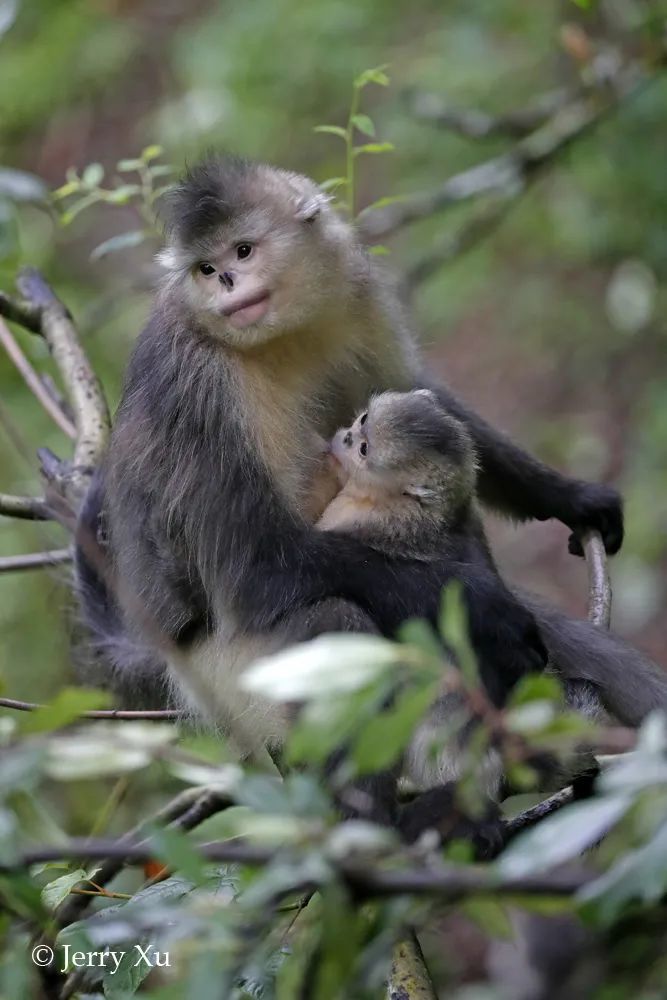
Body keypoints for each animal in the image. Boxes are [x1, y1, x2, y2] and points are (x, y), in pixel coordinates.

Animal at [75, 156, 624, 736]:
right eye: (205, 268)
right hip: (227, 678)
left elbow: (420, 398)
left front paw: (570, 497)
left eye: (242, 252)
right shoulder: (196, 386)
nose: (225, 279)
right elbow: (255, 571)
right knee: (327, 615)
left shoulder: (353, 291)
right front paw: (484, 609)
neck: (272, 337)